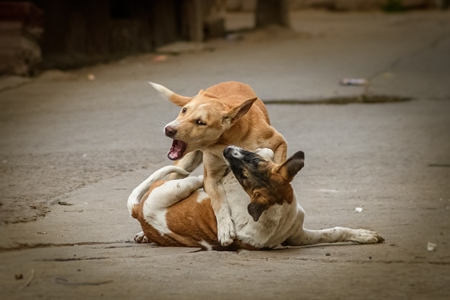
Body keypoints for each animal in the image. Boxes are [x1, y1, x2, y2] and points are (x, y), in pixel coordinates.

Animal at [128, 146, 384, 251]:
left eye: (251, 165)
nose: (226, 150)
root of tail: (138, 210)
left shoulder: (298, 237)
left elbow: (333, 232)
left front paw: (363, 236)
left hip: (174, 188)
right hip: (176, 187)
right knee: (192, 178)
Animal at [149, 81, 286, 246]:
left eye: (200, 122)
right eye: (184, 110)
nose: (169, 129)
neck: (225, 140)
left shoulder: (280, 143)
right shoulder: (211, 179)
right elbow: (219, 202)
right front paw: (225, 228)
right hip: (183, 165)